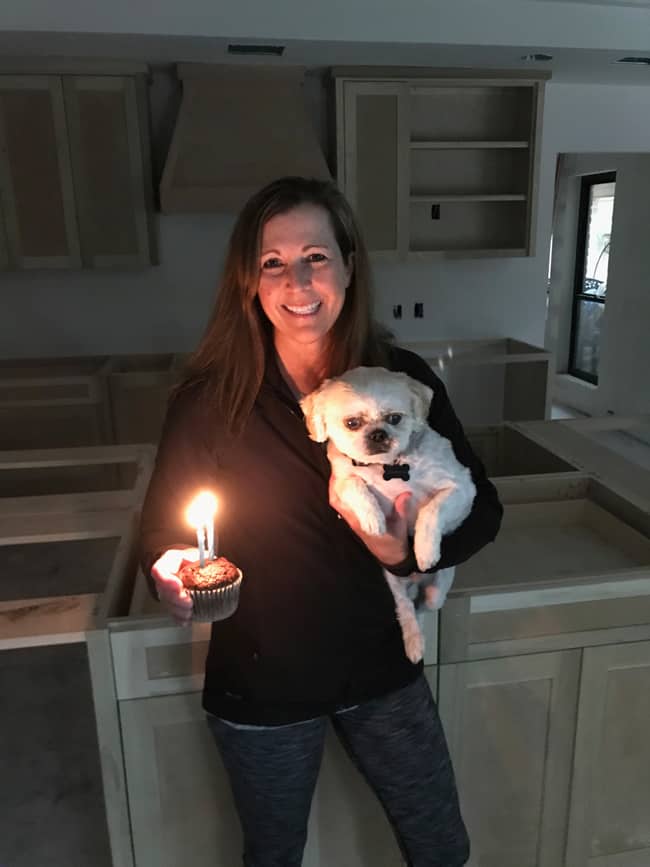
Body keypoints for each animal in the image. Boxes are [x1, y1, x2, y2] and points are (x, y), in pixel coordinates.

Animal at [300, 368, 476, 664]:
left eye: (394, 418)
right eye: (352, 423)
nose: (378, 434)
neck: (388, 466)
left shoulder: (462, 488)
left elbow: (431, 510)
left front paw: (425, 550)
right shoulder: (340, 481)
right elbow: (355, 485)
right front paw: (373, 518)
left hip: (437, 593)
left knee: (421, 608)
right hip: (393, 582)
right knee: (405, 609)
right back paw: (413, 642)